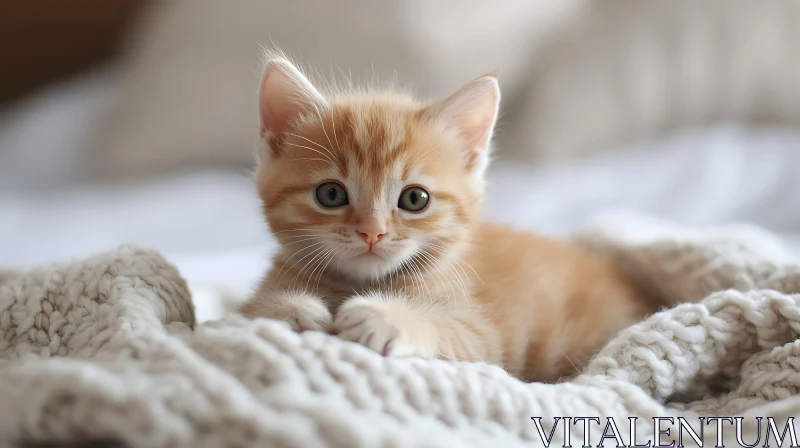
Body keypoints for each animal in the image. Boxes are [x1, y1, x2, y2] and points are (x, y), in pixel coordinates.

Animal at [239, 51, 656, 382]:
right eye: (330, 194)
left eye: (414, 199)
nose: (372, 232)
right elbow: (249, 309)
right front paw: (296, 311)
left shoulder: (483, 335)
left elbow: (446, 325)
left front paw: (384, 317)